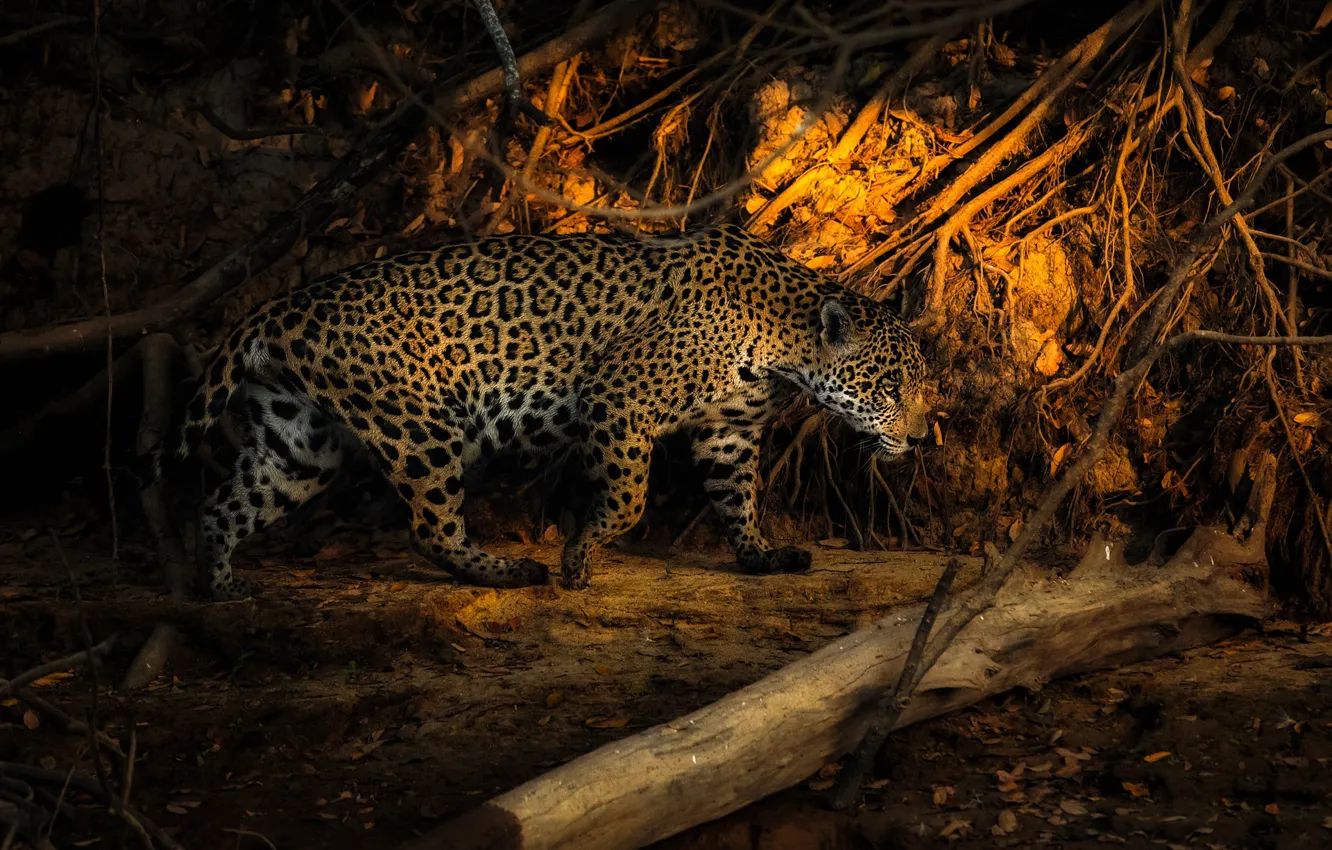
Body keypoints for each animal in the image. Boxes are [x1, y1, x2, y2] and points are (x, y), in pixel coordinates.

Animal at [168, 223, 931, 600]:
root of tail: (281, 305)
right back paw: (508, 572)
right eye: (890, 387)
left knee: (225, 503)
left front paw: (760, 557)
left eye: (920, 386)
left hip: (299, 441)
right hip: (420, 426)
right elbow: (627, 498)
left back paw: (219, 584)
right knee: (430, 528)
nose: (923, 440)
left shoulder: (730, 431)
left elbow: (739, 497)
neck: (783, 338)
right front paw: (579, 557)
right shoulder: (621, 397)